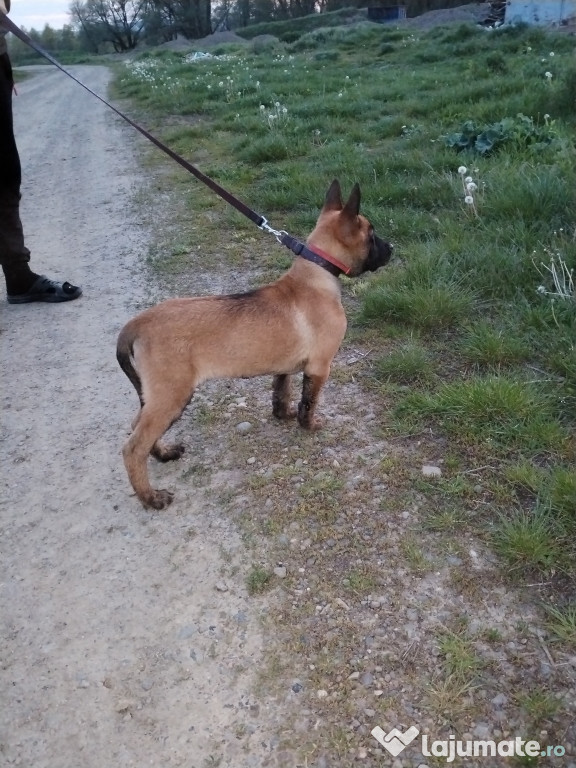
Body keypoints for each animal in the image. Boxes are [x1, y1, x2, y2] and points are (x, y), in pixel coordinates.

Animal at [119, 177, 394, 508]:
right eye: (372, 234)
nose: (393, 248)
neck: (315, 275)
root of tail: (138, 323)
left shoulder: (285, 366)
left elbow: (282, 392)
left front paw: (283, 415)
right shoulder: (319, 367)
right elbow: (308, 401)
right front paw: (308, 425)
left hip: (157, 396)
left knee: (136, 427)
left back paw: (163, 453)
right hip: (171, 395)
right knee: (133, 446)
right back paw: (151, 497)